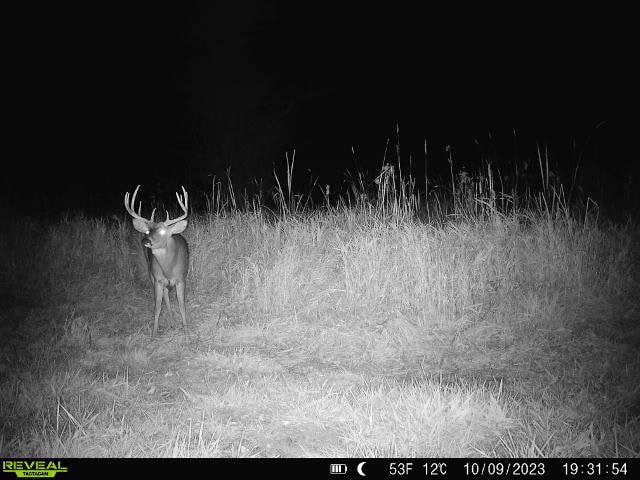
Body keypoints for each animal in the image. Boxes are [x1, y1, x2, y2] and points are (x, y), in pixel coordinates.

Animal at [124, 185, 190, 335]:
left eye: (162, 232)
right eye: (148, 231)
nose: (146, 240)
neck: (169, 268)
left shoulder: (181, 279)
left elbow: (182, 305)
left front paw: (186, 329)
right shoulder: (158, 279)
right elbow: (157, 307)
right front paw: (154, 333)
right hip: (151, 273)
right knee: (165, 296)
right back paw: (171, 320)